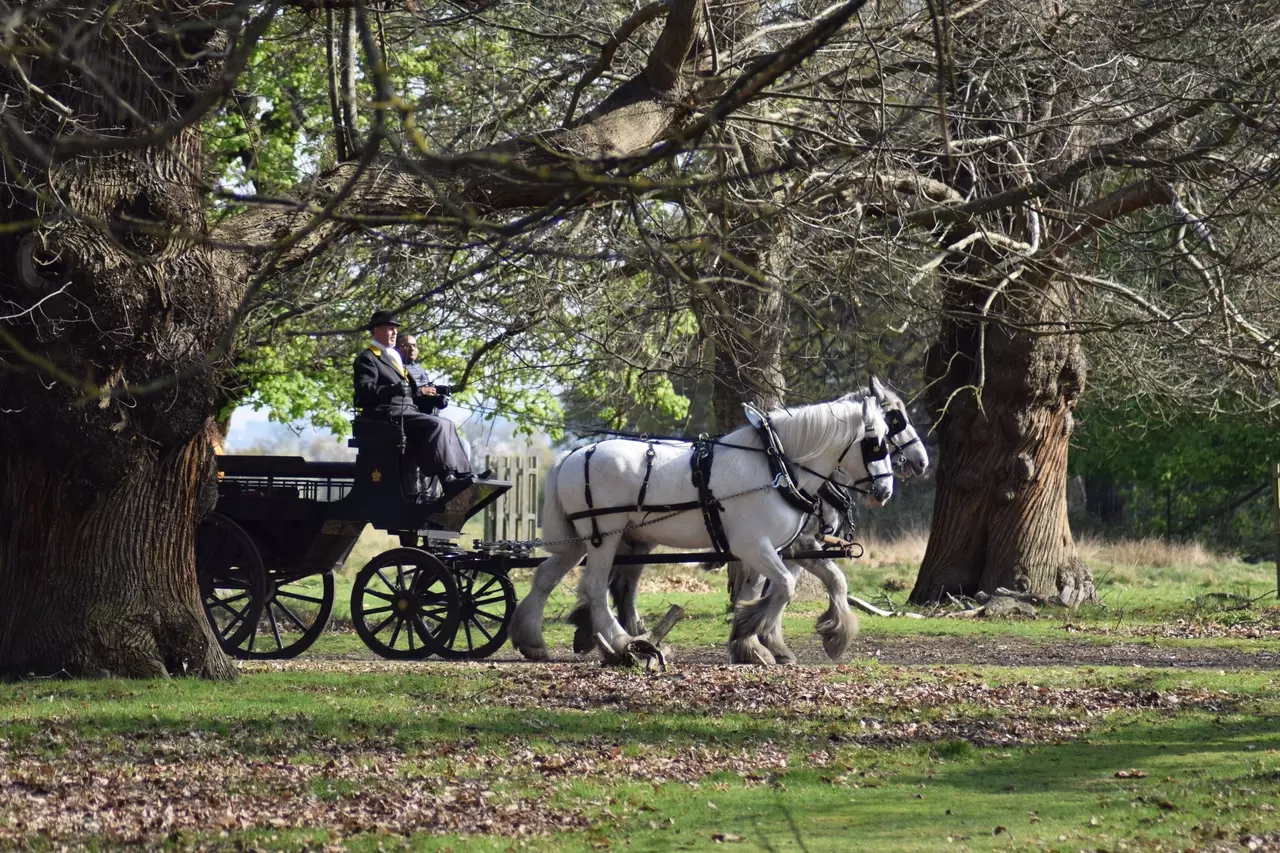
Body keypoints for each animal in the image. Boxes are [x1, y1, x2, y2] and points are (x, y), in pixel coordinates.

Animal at [506, 394, 890, 660]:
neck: (776, 464)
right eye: (875, 444)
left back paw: (532, 641)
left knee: (546, 577)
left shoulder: (776, 548)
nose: (884, 491)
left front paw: (760, 642)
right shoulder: (753, 545)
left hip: (578, 541)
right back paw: (620, 641)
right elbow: (784, 587)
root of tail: (572, 456)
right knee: (595, 588)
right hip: (604, 536)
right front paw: (751, 632)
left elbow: (819, 583)